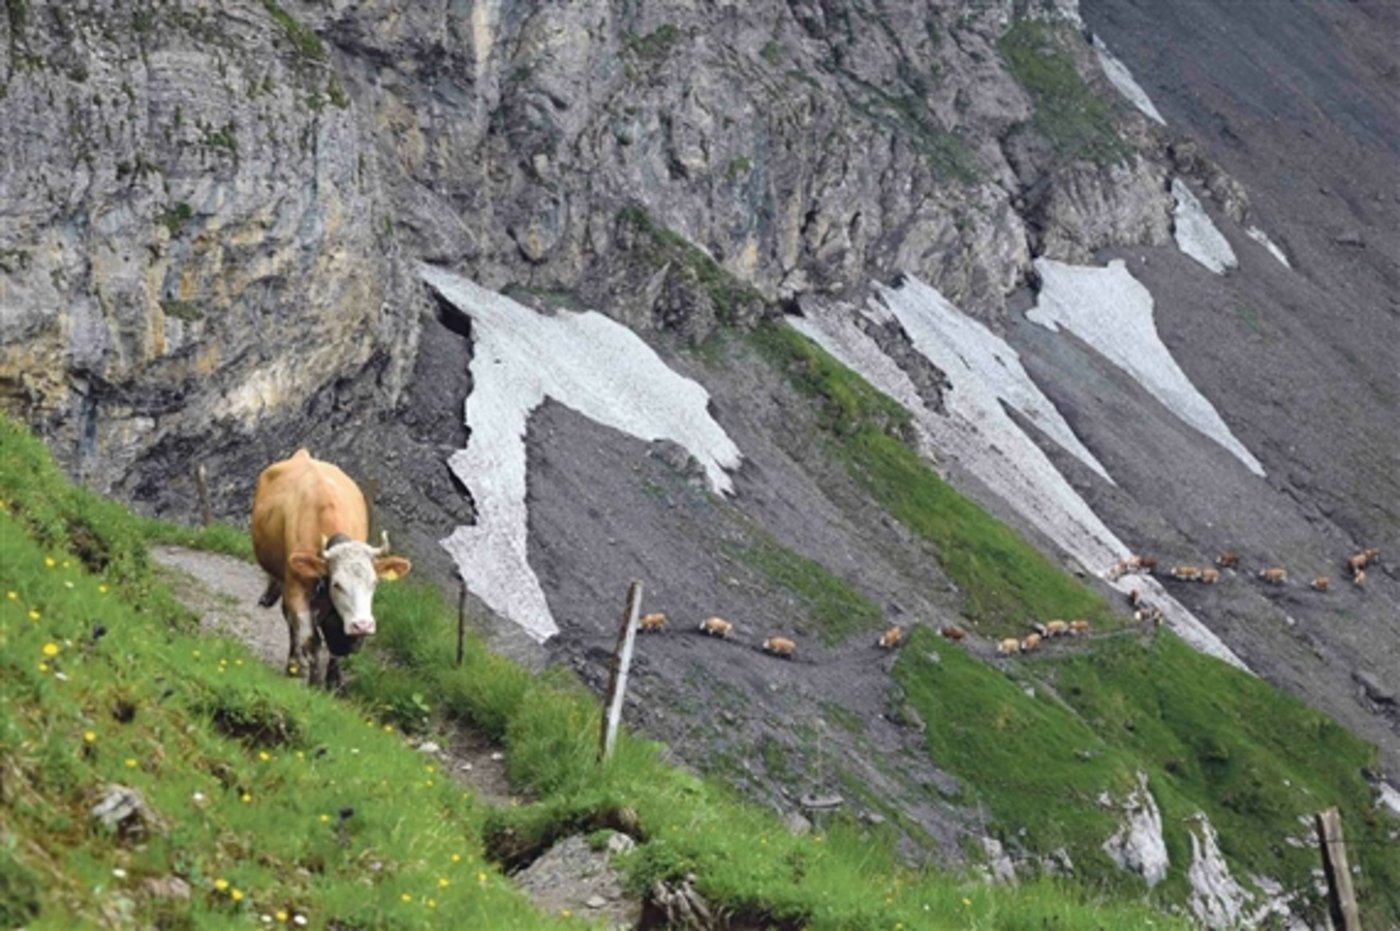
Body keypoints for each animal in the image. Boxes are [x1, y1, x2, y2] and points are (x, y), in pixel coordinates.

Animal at [251, 449, 411, 688]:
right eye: (337, 584)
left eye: (374, 583)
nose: (362, 625)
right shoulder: (296, 588)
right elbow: (310, 638)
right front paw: (314, 683)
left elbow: (335, 646)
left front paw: (334, 682)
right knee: (290, 621)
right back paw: (293, 664)